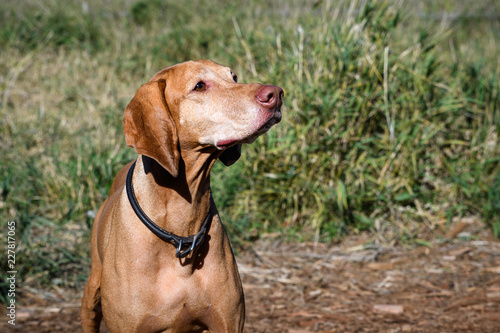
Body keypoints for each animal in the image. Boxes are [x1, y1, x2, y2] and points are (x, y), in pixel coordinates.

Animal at [82, 60, 286, 332]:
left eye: (233, 77)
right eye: (199, 86)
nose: (276, 94)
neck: (180, 230)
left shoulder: (228, 322)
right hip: (92, 292)